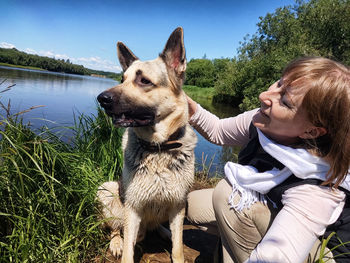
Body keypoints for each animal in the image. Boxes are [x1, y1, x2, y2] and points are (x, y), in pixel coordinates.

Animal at [96, 27, 197, 263]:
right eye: (122, 79)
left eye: (144, 81)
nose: (101, 99)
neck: (158, 148)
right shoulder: (132, 208)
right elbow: (128, 251)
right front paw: (123, 247)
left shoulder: (178, 206)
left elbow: (178, 247)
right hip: (106, 189)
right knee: (116, 229)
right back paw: (117, 242)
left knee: (158, 228)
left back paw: (163, 231)